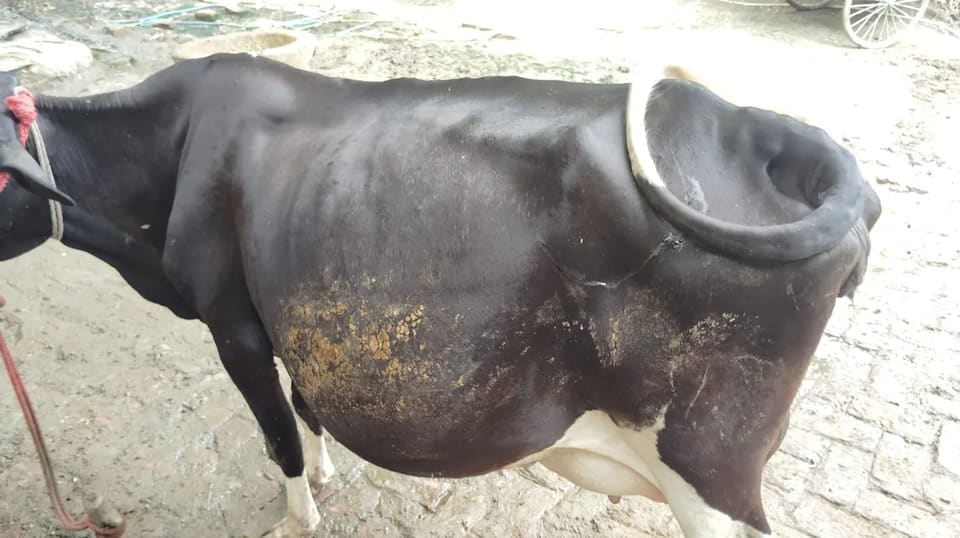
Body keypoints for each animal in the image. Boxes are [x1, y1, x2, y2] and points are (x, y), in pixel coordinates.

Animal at [0, 52, 881, 537]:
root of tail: (763, 130)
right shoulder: (290, 311)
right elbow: (306, 403)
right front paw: (328, 476)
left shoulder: (231, 320)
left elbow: (278, 434)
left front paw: (297, 517)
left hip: (710, 464)